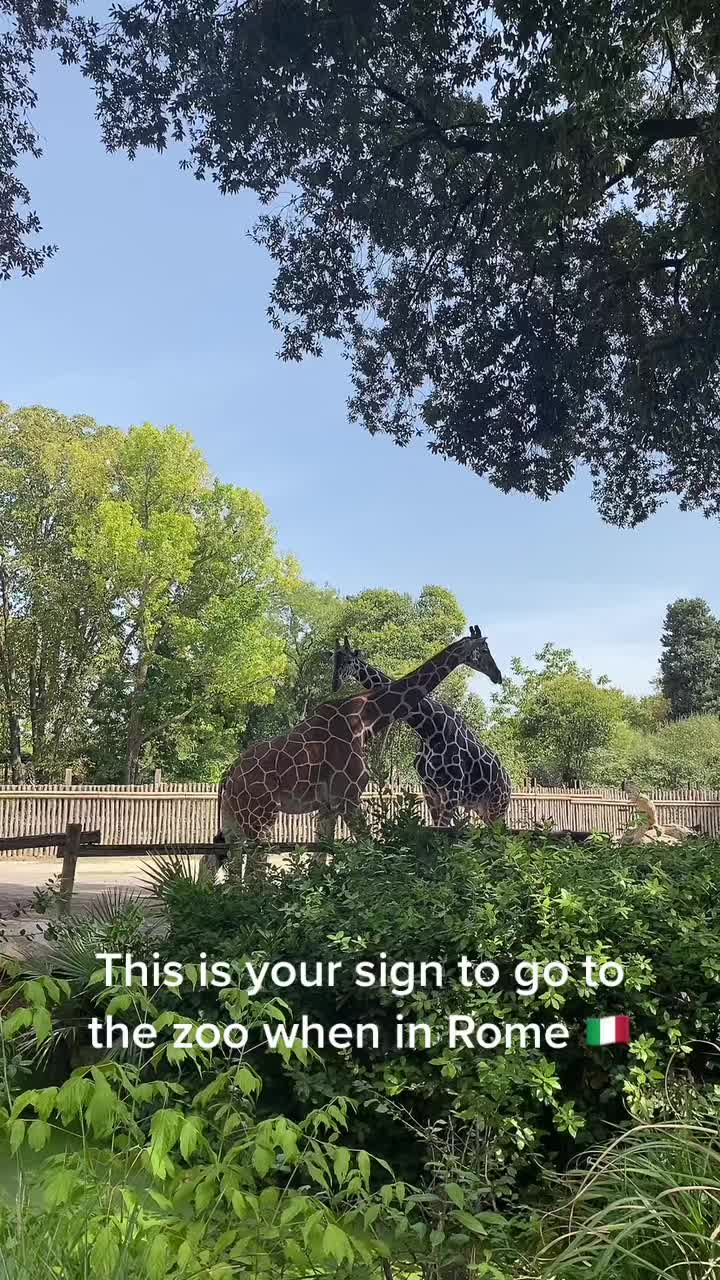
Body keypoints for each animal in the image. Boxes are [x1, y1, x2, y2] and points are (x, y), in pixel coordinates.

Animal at [217, 627, 491, 860]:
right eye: (484, 649)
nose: (496, 674)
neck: (366, 720)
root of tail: (228, 776)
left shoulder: (329, 806)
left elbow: (323, 854)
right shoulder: (347, 798)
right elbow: (366, 848)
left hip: (233, 820)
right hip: (260, 815)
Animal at [330, 632, 509, 829]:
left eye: (348, 661)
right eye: (334, 660)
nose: (497, 675)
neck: (429, 729)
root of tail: (509, 782)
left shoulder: (453, 791)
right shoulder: (429, 790)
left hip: (497, 807)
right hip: (481, 808)